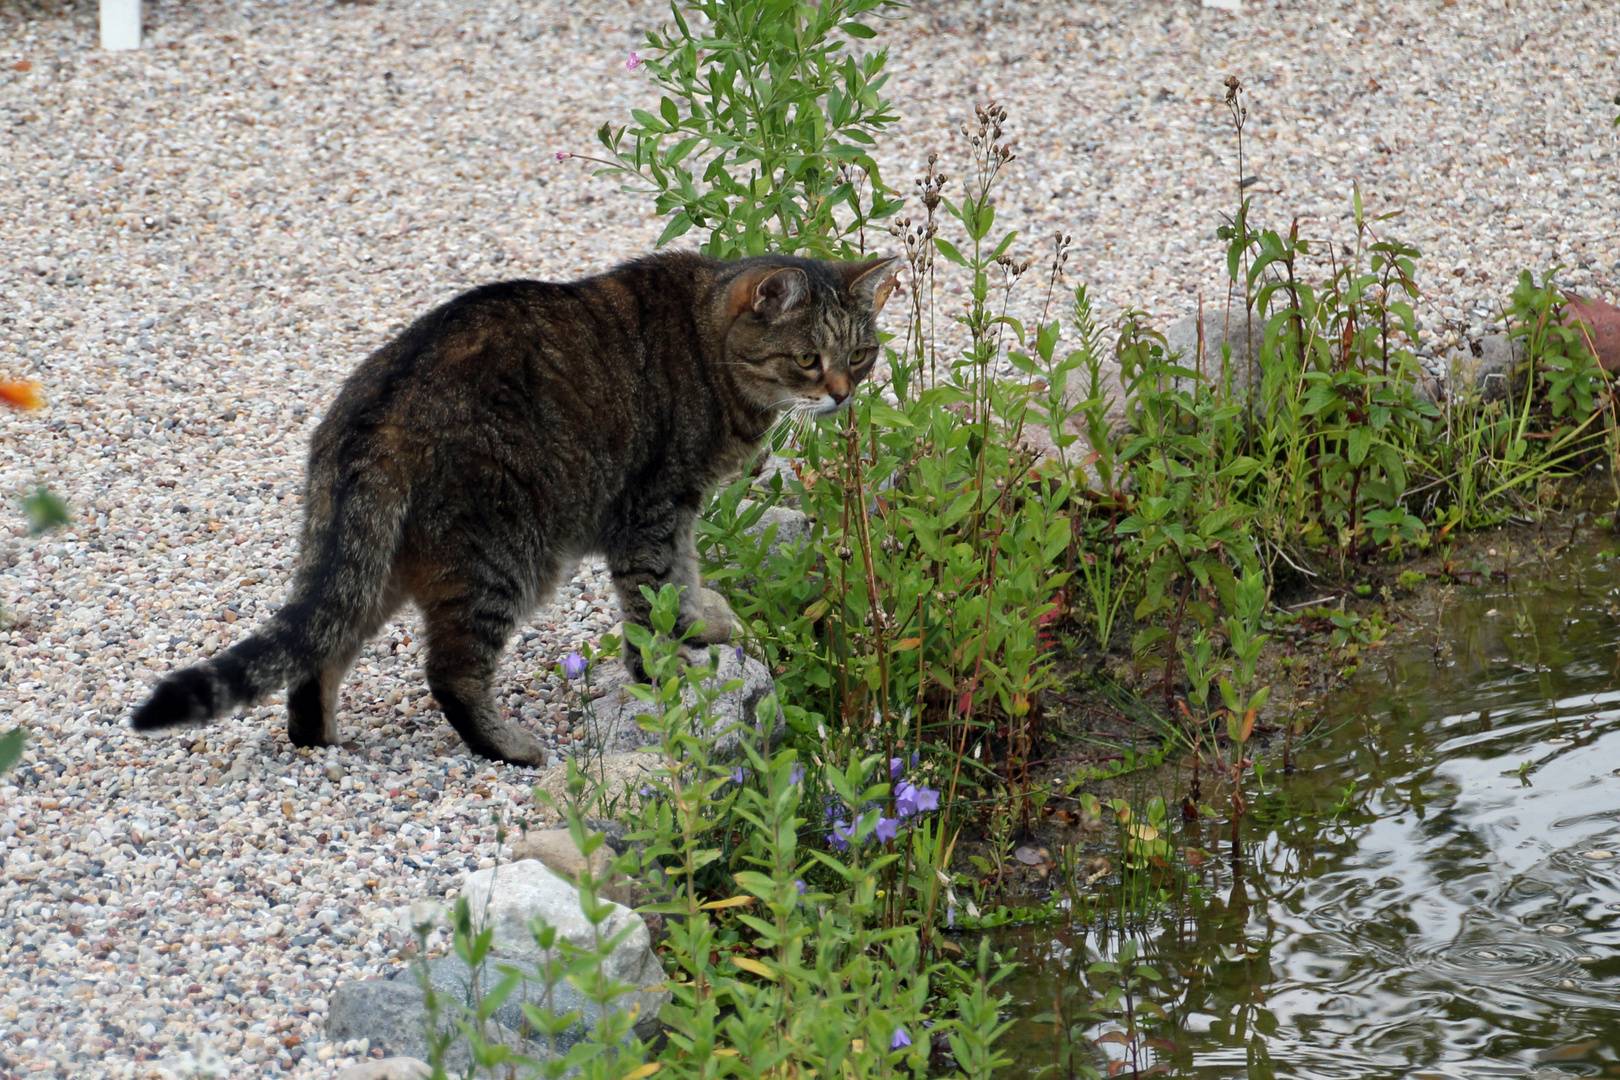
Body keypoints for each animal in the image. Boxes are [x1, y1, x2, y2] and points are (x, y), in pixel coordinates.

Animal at [132, 250, 900, 764]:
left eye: (861, 355)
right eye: (807, 360)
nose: (841, 395)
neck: (711, 348)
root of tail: (374, 410)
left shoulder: (677, 510)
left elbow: (681, 579)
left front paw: (697, 626)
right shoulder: (652, 508)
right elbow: (649, 597)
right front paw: (662, 674)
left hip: (377, 565)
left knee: (321, 648)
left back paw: (319, 741)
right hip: (505, 556)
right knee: (449, 670)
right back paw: (506, 745)